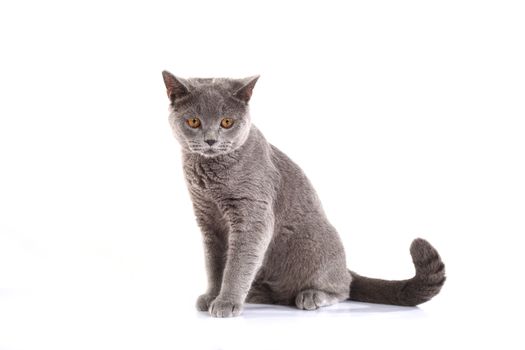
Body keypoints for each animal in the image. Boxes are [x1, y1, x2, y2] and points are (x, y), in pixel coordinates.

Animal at [162, 71, 444, 318]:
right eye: (194, 122)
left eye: (226, 122)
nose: (210, 140)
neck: (211, 179)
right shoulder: (208, 221)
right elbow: (215, 265)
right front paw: (212, 296)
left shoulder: (252, 218)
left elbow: (237, 265)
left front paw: (227, 302)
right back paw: (256, 292)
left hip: (313, 243)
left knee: (343, 287)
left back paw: (311, 296)